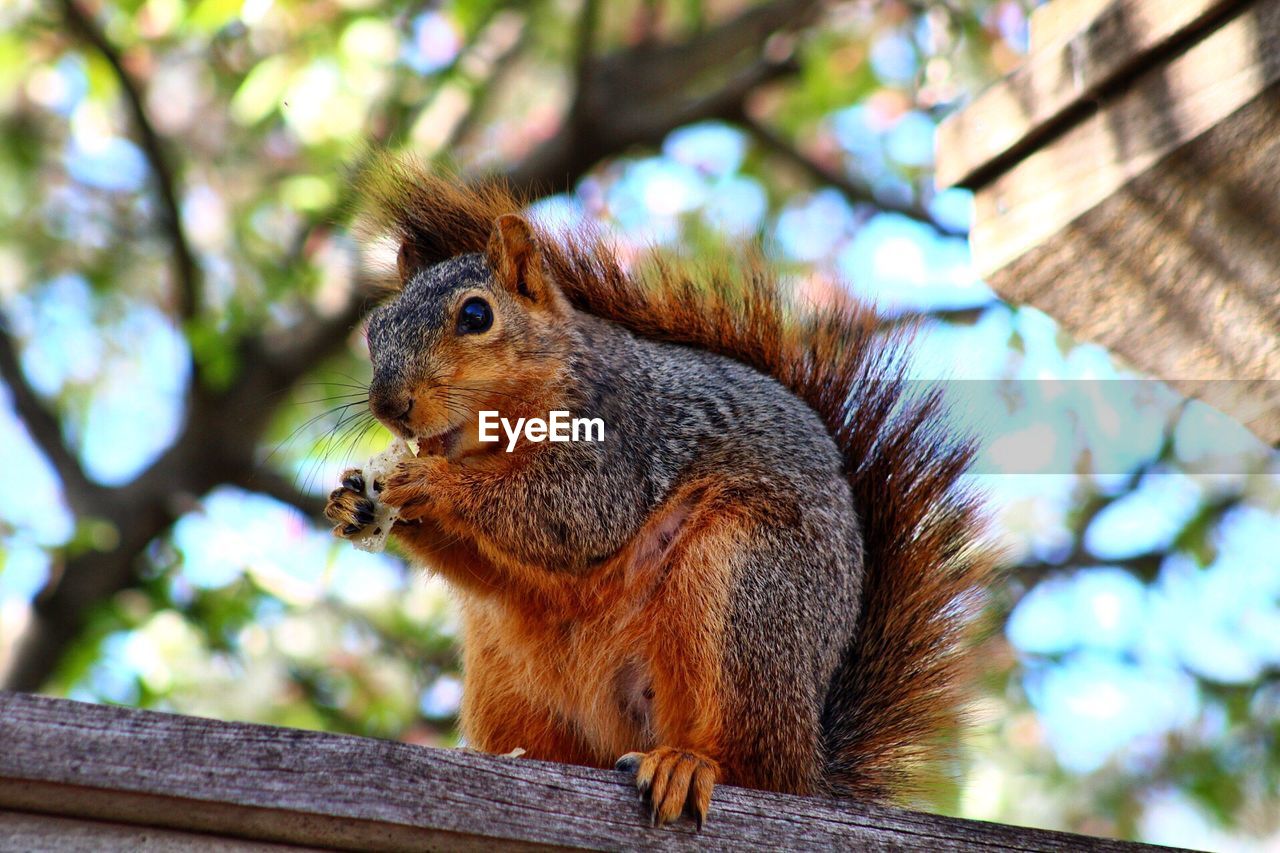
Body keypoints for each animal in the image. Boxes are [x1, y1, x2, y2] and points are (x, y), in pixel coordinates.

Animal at [325, 157, 993, 824]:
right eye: (375, 330)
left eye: (475, 316)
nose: (389, 405)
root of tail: (810, 764)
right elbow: (493, 571)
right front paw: (355, 501)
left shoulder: (623, 441)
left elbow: (571, 514)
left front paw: (430, 482)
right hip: (508, 679)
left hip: (746, 591)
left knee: (752, 762)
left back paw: (688, 765)